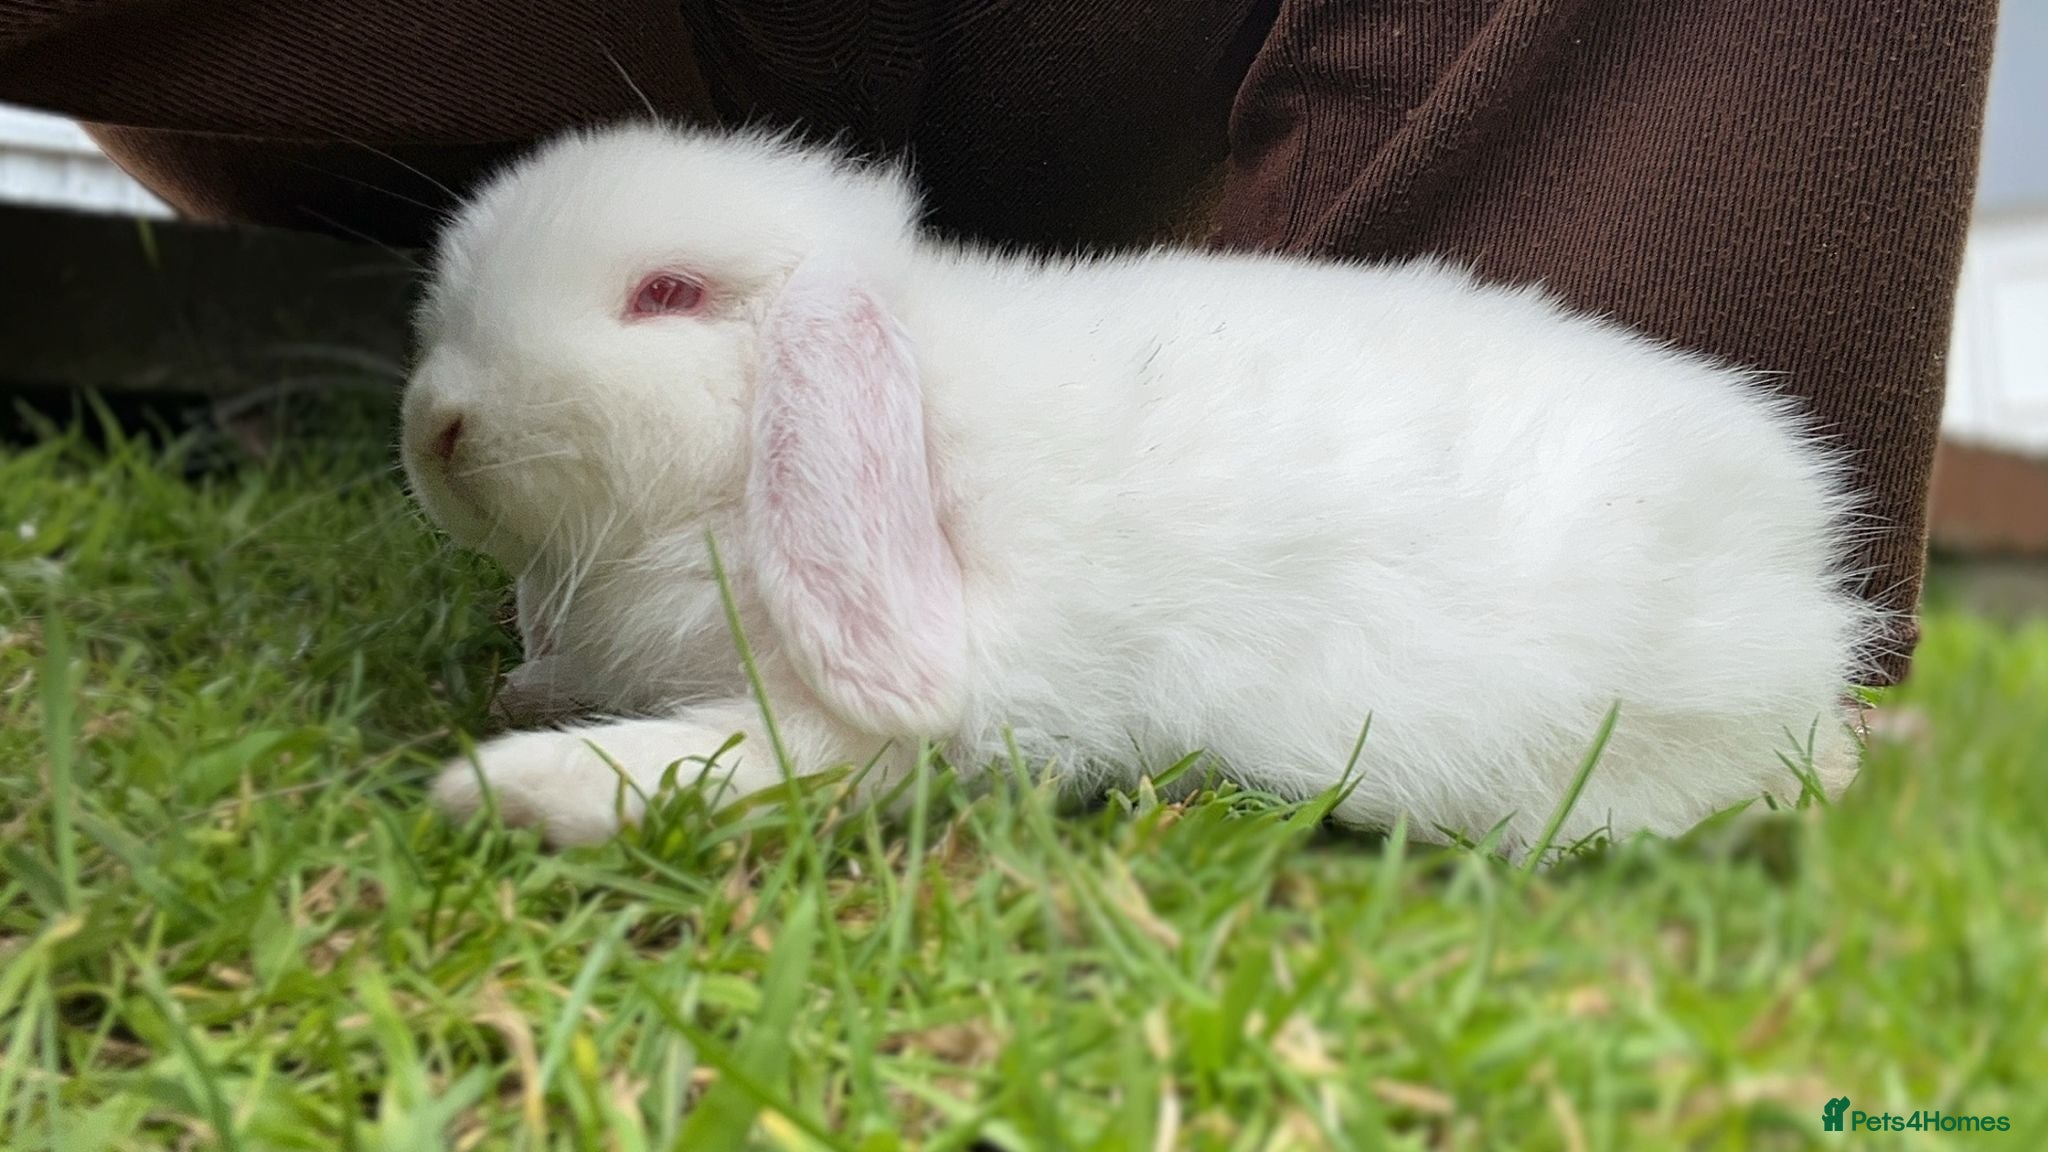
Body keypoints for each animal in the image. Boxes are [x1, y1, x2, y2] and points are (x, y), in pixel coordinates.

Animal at [401, 123, 1882, 856]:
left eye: (668, 295)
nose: (433, 428)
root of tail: (1803, 570)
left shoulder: (862, 726)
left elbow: (719, 763)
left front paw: (504, 791)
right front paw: (528, 701)